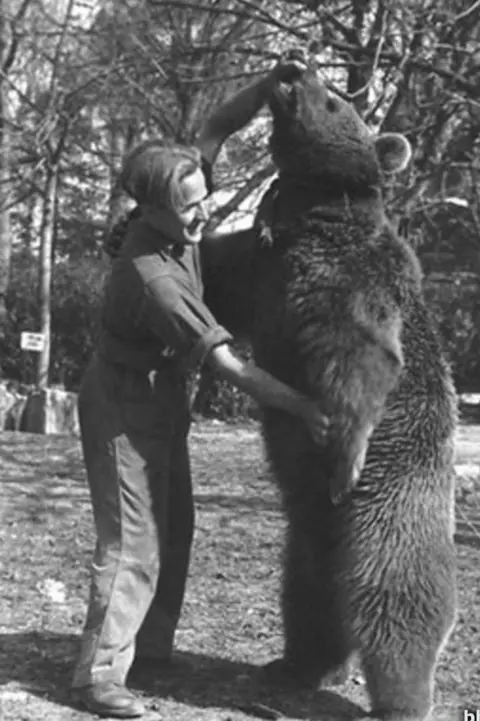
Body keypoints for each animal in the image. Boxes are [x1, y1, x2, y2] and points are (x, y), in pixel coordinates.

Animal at [202, 60, 458, 721]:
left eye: (338, 98)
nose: (291, 65)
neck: (311, 216)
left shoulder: (351, 280)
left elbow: (362, 353)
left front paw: (345, 449)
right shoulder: (259, 264)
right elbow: (216, 274)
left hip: (393, 502)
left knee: (397, 596)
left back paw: (402, 697)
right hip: (308, 536)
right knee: (308, 594)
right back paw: (296, 664)